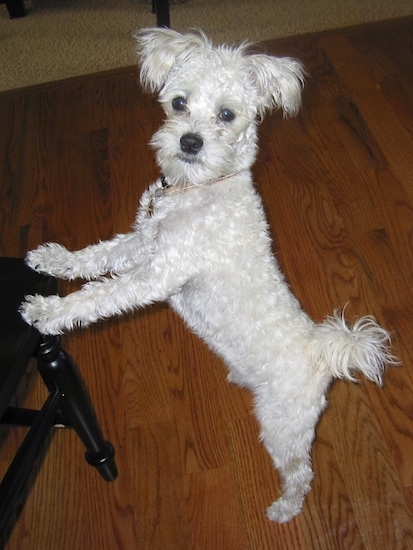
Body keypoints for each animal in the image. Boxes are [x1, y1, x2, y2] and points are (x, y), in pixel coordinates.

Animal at [20, 28, 398, 524]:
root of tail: (321, 354)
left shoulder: (156, 273)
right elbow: (95, 257)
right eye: (179, 103)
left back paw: (284, 509)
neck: (199, 189)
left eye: (227, 114)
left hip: (283, 429)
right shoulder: (141, 243)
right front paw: (52, 259)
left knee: (301, 475)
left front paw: (47, 311)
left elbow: (98, 296)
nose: (190, 142)